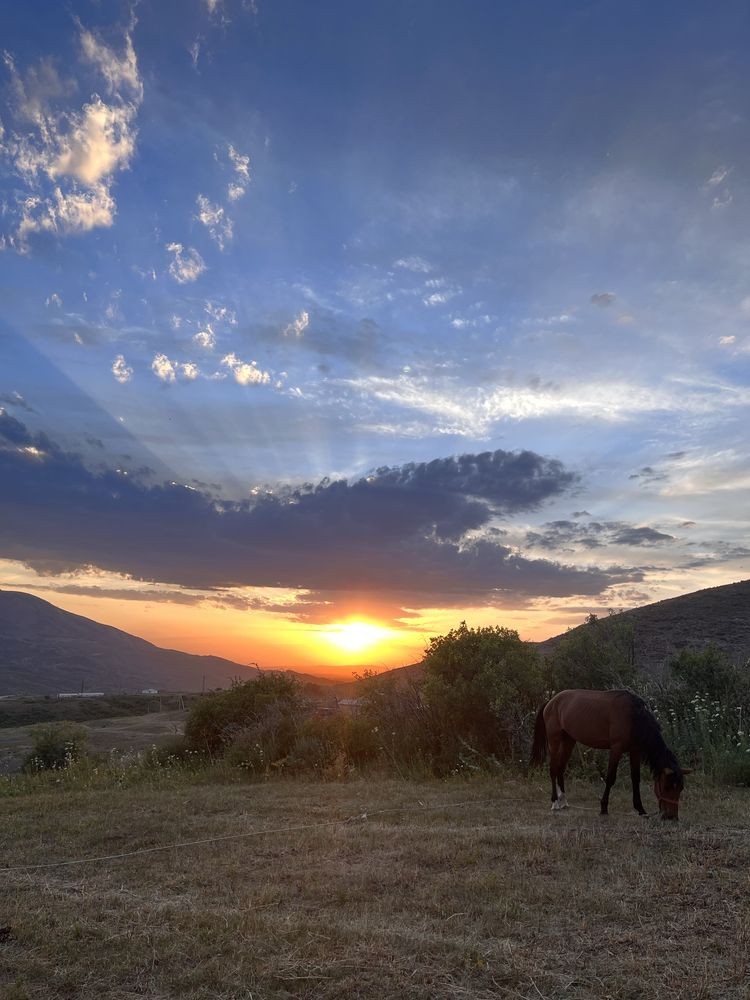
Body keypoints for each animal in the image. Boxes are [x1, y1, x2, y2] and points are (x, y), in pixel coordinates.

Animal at [528, 688, 692, 820]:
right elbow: (610, 778)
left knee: (561, 768)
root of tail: (551, 701)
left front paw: (641, 809)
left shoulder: (635, 751)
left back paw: (564, 801)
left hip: (569, 740)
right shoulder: (616, 749)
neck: (633, 716)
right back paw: (555, 802)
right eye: (667, 787)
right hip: (554, 740)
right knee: (553, 769)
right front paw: (603, 808)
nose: (671, 817)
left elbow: (635, 779)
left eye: (680, 788)